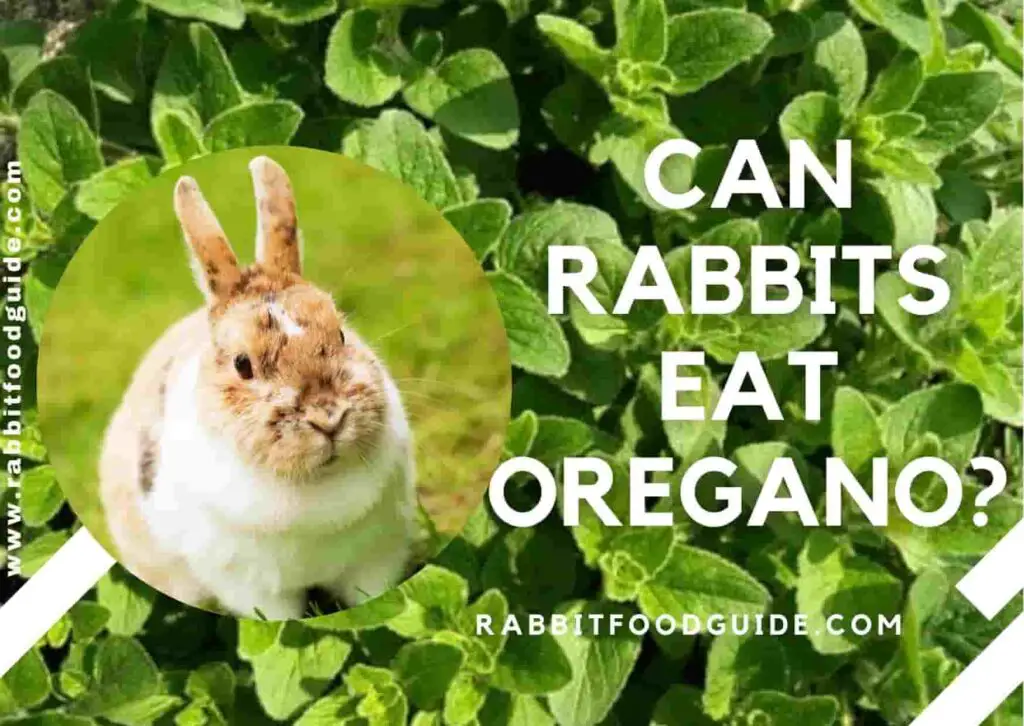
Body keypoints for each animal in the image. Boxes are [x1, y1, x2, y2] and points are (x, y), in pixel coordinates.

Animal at [99, 156, 418, 620]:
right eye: (242, 364)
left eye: (341, 334)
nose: (328, 417)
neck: (314, 483)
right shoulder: (254, 588)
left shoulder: (377, 556)